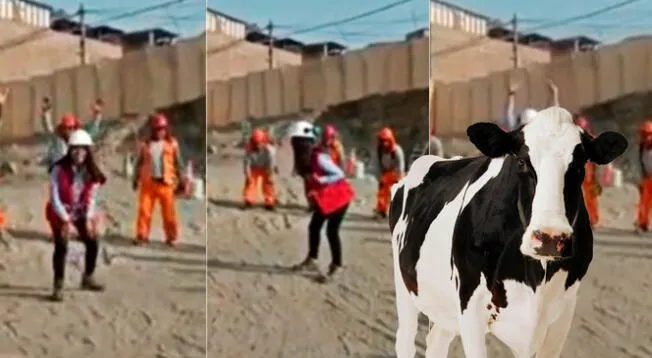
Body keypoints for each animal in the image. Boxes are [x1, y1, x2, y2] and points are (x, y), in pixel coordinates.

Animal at [390, 107, 628, 358]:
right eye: (521, 162)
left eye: (580, 166)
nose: (550, 238)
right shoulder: (470, 307)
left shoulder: (562, 314)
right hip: (404, 284)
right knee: (405, 339)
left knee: (436, 340)